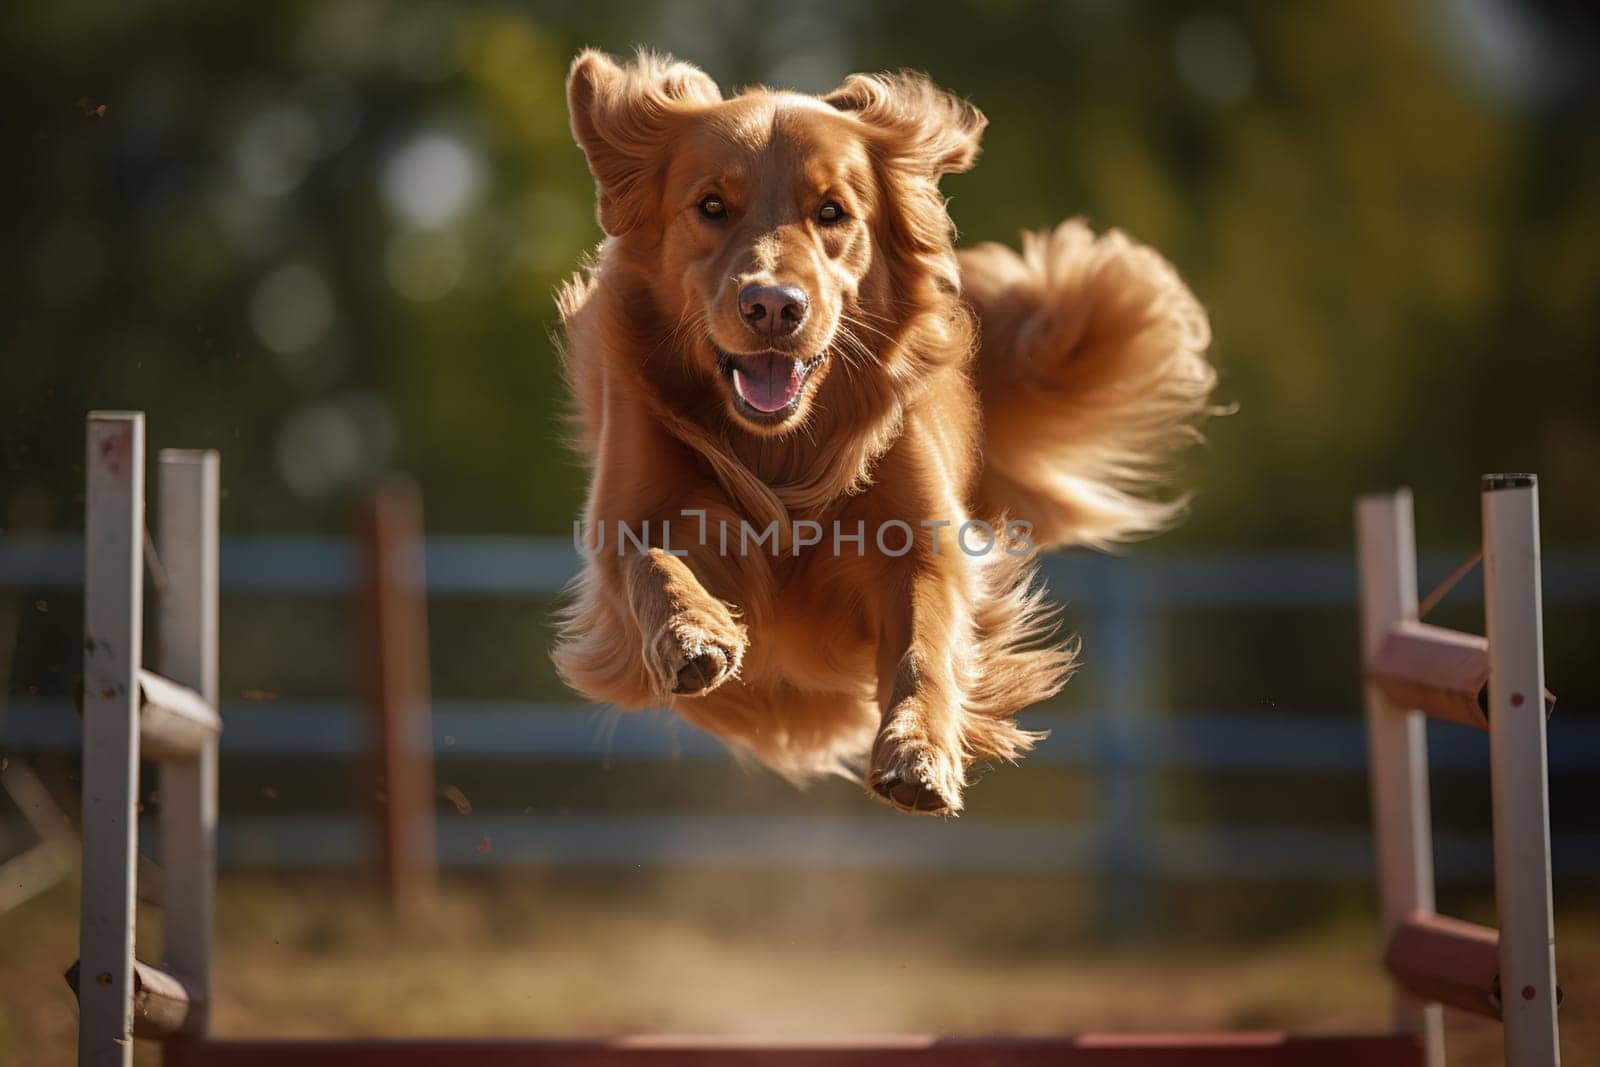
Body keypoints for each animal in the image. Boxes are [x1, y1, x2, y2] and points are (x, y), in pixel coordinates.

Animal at [550, 49, 1209, 812]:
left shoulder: (923, 542)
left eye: (832, 212)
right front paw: (692, 632)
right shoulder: (628, 514)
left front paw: (919, 751)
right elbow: (651, 560)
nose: (773, 306)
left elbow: (927, 643)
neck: (783, 450)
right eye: (711, 207)